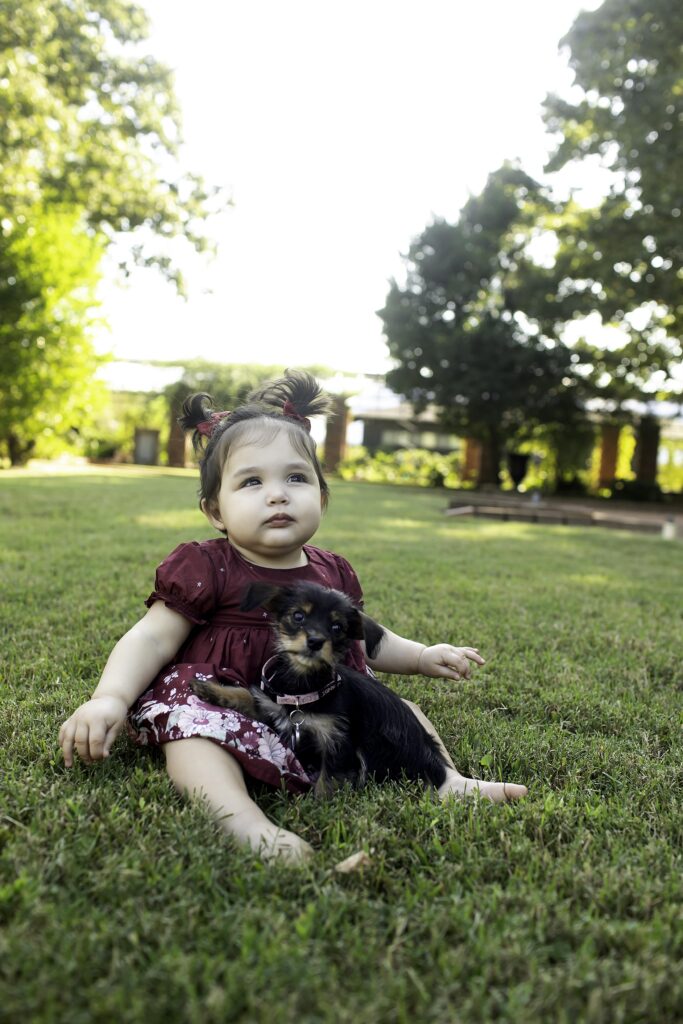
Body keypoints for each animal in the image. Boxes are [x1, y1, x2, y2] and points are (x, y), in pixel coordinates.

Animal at [191, 581, 448, 794]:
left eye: (337, 627)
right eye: (298, 616)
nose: (315, 641)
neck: (300, 689)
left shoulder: (336, 741)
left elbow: (327, 781)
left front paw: (317, 808)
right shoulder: (271, 707)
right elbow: (246, 694)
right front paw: (211, 689)